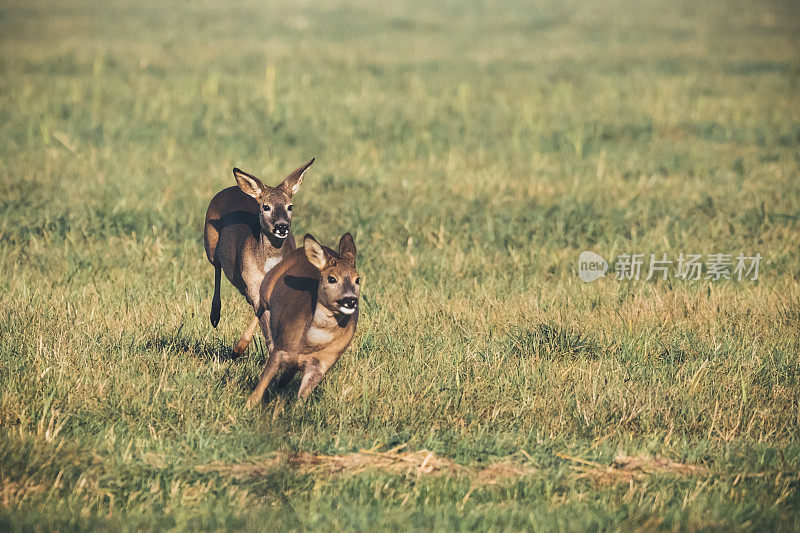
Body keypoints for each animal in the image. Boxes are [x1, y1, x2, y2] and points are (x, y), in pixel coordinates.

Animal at [205, 159, 314, 358]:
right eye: (266, 207)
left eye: (290, 206)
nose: (282, 226)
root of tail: (231, 188)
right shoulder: (253, 281)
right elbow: (263, 319)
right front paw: (238, 349)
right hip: (209, 244)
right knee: (217, 267)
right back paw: (215, 316)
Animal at [245, 233, 360, 408]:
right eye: (332, 279)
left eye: (357, 279)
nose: (350, 300)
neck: (310, 343)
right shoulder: (280, 350)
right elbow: (259, 390)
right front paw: (247, 408)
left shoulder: (322, 365)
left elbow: (300, 401)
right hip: (267, 286)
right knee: (259, 307)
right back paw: (238, 347)